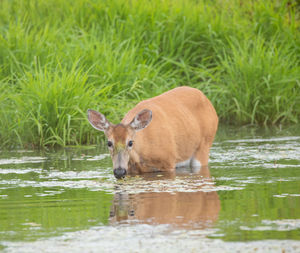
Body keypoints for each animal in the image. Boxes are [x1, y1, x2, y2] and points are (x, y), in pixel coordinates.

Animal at [86, 86, 218, 179]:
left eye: (130, 142)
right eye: (109, 143)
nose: (119, 171)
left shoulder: (169, 162)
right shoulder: (131, 170)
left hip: (205, 144)